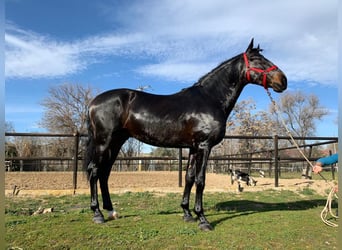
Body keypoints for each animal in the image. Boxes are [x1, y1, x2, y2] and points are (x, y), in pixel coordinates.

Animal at [84, 39, 288, 230]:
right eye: (256, 59)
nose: (283, 81)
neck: (210, 99)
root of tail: (93, 102)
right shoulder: (204, 146)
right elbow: (200, 180)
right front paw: (203, 219)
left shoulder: (193, 148)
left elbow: (189, 178)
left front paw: (187, 213)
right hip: (104, 142)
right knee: (94, 171)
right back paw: (97, 214)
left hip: (116, 142)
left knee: (104, 173)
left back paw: (111, 211)